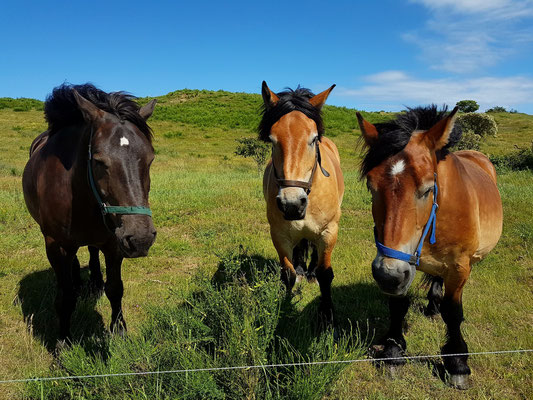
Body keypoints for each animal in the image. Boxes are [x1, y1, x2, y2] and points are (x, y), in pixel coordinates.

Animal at [22, 83, 156, 340]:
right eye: (98, 161)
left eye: (150, 159)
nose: (141, 239)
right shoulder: (56, 245)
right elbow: (65, 298)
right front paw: (63, 341)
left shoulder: (114, 243)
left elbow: (115, 289)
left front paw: (119, 330)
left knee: (93, 250)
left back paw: (94, 281)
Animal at [258, 81, 342, 324]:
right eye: (272, 140)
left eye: (313, 139)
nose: (292, 204)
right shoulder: (279, 234)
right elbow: (287, 274)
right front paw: (286, 308)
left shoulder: (329, 232)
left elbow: (326, 274)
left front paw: (326, 314)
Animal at [356, 105, 500, 388]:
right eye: (371, 186)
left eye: (427, 189)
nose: (387, 275)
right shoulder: (402, 266)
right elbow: (398, 306)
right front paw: (393, 352)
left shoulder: (459, 268)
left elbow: (453, 313)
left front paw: (457, 363)